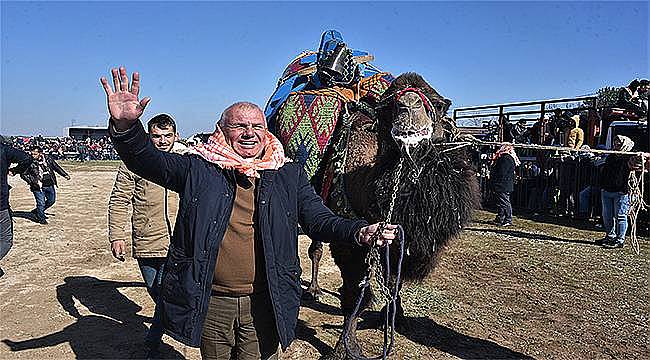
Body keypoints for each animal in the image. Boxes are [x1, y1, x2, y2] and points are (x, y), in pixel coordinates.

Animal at [266, 30, 478, 358]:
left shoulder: (400, 236)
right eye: (389, 106)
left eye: (439, 104)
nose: (410, 107)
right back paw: (311, 289)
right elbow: (354, 293)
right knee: (314, 245)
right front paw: (344, 347)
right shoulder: (350, 235)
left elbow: (394, 278)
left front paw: (395, 317)